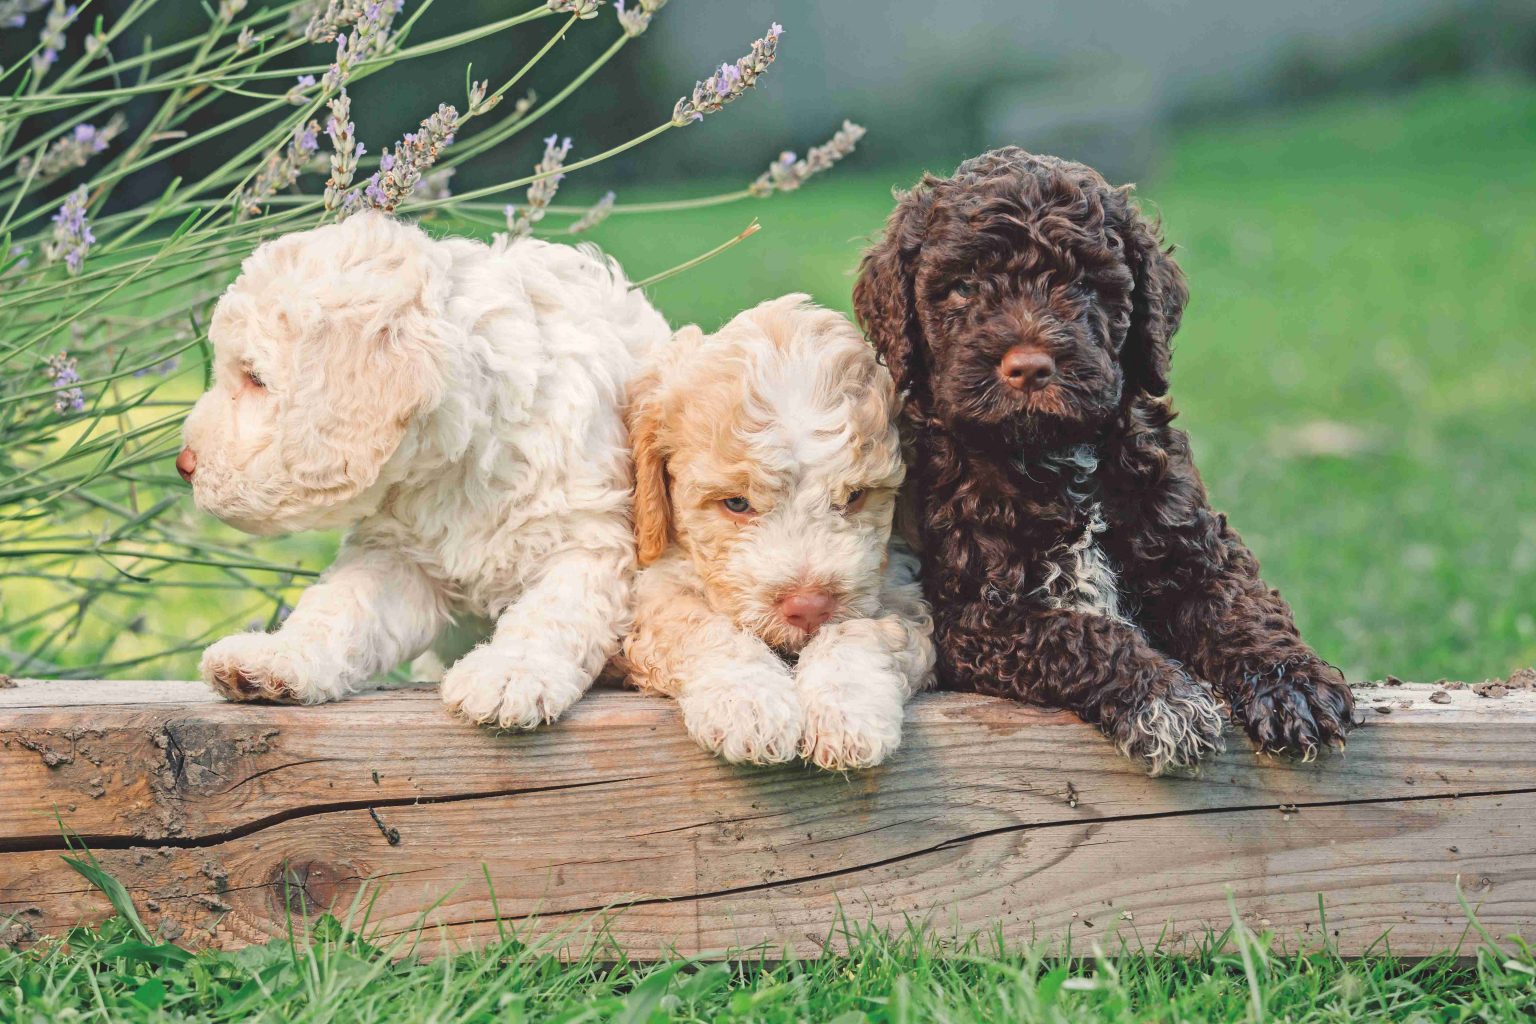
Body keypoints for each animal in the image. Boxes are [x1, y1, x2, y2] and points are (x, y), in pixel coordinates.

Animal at [176, 211, 669, 724]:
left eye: (254, 378)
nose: (184, 464)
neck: (462, 462)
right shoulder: (397, 557)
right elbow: (341, 605)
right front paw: (278, 657)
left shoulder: (590, 540)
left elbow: (551, 612)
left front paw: (509, 673)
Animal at [623, 296, 933, 767]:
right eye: (736, 504)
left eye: (856, 496)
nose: (808, 607)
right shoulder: (659, 593)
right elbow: (703, 627)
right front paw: (748, 704)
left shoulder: (899, 588)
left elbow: (863, 629)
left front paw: (848, 709)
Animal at [854, 148, 1357, 773]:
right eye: (964, 287)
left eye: (1084, 284)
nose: (1028, 368)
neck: (1058, 460)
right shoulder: (973, 617)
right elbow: (1078, 632)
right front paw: (1162, 699)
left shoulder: (1200, 551)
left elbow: (1242, 608)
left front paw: (1293, 686)